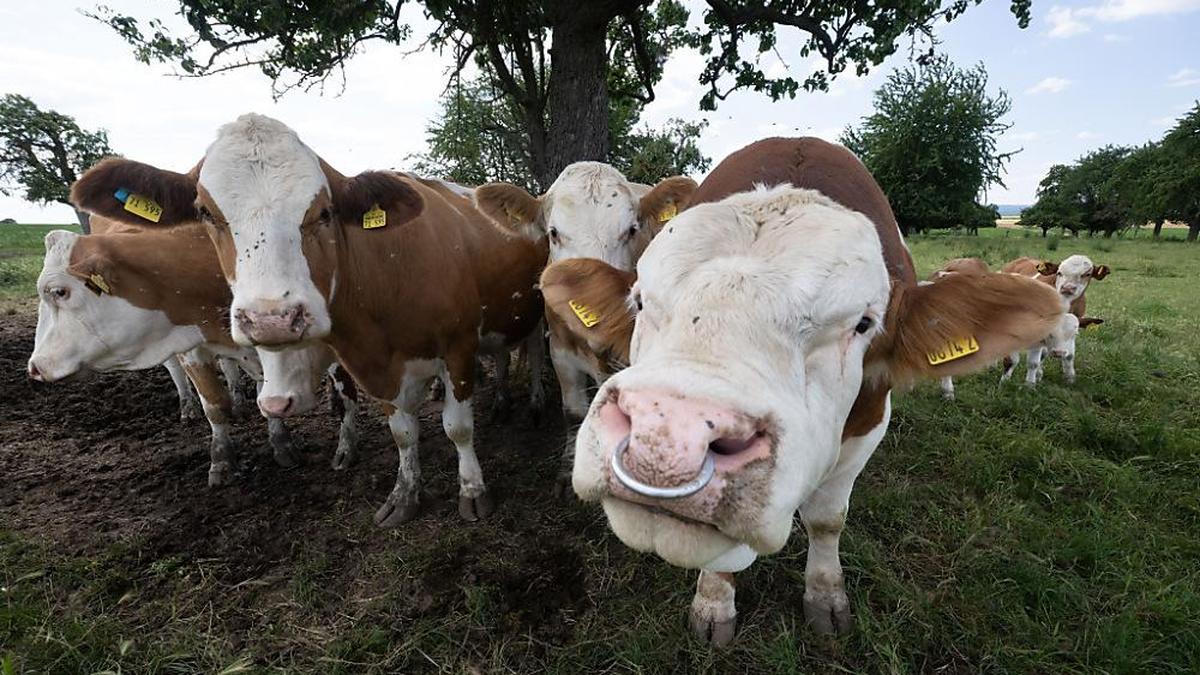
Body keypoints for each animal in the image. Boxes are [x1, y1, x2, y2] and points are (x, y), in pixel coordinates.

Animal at [25, 223, 357, 480]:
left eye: (59, 292)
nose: (35, 367)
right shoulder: (191, 347)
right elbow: (216, 405)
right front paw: (223, 461)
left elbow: (343, 394)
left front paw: (323, 447)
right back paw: (194, 405)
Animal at [68, 114, 547, 526]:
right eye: (205, 212)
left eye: (324, 212)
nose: (272, 319)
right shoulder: (375, 365)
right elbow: (402, 432)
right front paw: (404, 494)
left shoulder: (459, 346)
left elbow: (457, 427)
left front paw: (473, 491)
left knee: (532, 353)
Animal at [537, 136, 1060, 638]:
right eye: (640, 300)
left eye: (864, 323)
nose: (666, 440)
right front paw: (714, 602)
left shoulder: (869, 426)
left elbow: (828, 519)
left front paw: (825, 596)